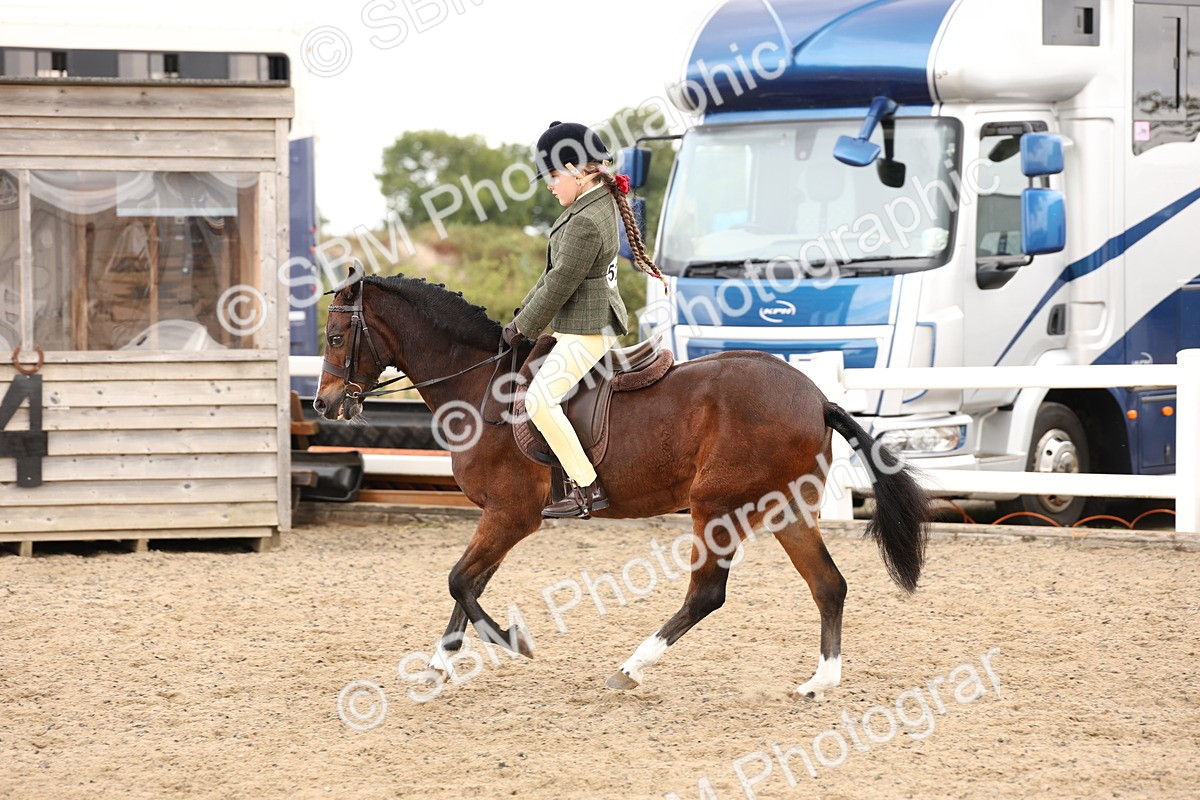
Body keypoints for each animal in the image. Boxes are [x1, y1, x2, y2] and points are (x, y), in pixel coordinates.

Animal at [313, 273, 929, 699]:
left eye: (338, 335)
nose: (323, 404)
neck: (480, 383)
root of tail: (816, 396)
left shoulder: (512, 514)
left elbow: (460, 581)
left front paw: (513, 642)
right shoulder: (499, 516)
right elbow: (468, 585)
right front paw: (440, 663)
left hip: (716, 505)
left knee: (707, 593)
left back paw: (630, 668)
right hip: (786, 510)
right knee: (828, 585)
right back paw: (820, 682)